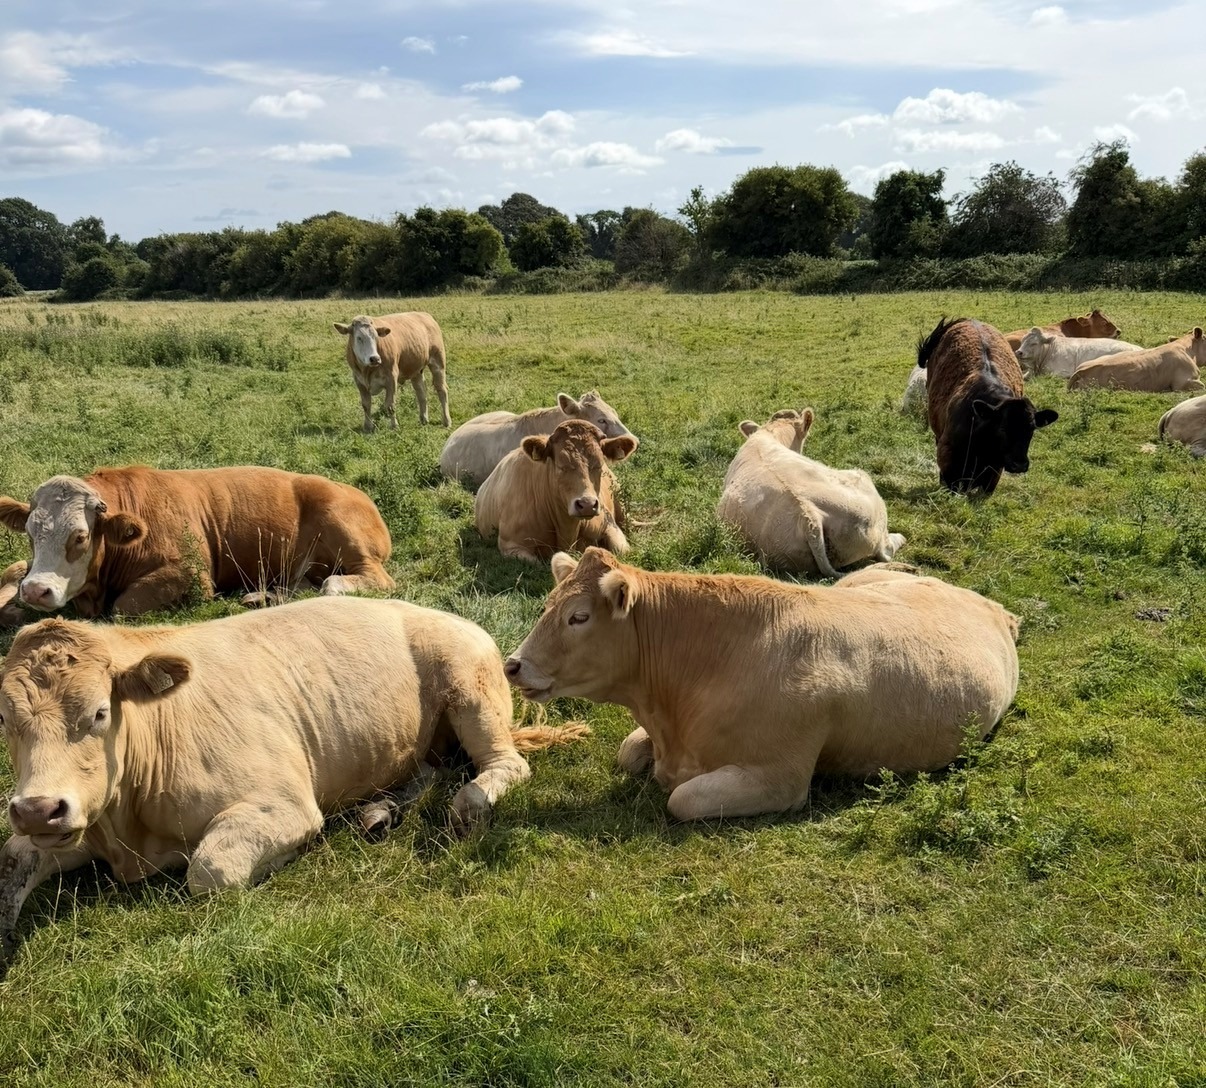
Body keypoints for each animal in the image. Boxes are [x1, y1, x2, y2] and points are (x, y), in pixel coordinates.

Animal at [0, 465, 394, 625]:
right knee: (303, 586)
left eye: (80, 537)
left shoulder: (191, 575)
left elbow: (123, 606)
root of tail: (356, 493)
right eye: (31, 534)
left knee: (355, 582)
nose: (36, 590)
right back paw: (260, 598)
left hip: (348, 539)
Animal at [0, 596, 586, 965]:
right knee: (426, 769)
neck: (130, 833)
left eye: (100, 713)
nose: (37, 808)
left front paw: (279, 859)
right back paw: (381, 810)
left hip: (472, 689)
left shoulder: (286, 804)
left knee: (503, 764)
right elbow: (13, 857)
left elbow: (211, 871)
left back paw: (468, 803)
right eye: (6, 720)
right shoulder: (77, 822)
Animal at [474, 420, 637, 562]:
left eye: (599, 464)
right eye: (561, 465)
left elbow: (620, 552)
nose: (587, 505)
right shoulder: (511, 546)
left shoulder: (610, 526)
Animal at [503, 549, 1019, 822]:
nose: (513, 665)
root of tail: (990, 605)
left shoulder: (781, 778)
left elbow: (681, 798)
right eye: (547, 604)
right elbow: (629, 752)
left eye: (579, 617)